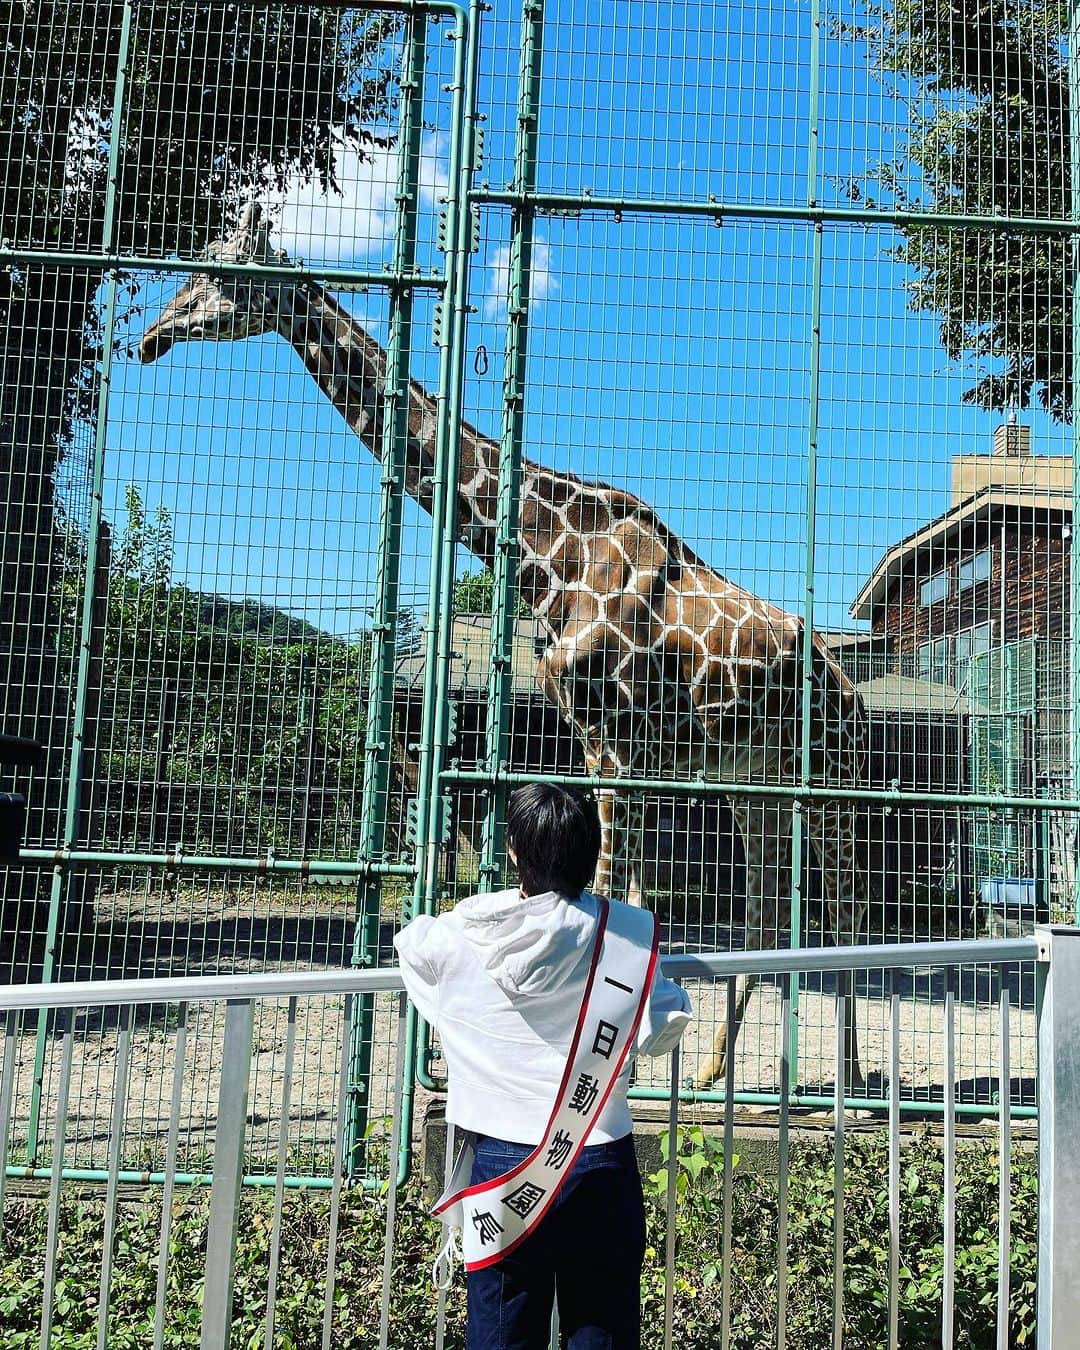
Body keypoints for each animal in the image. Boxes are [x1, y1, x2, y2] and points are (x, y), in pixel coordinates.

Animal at [141, 202, 869, 1085]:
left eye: (219, 273)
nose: (151, 335)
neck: (544, 555)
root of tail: (852, 691)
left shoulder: (614, 750)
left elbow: (614, 908)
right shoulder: (613, 751)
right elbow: (632, 908)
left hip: (829, 777)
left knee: (848, 915)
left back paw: (854, 1080)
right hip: (753, 783)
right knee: (772, 917)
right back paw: (715, 1073)